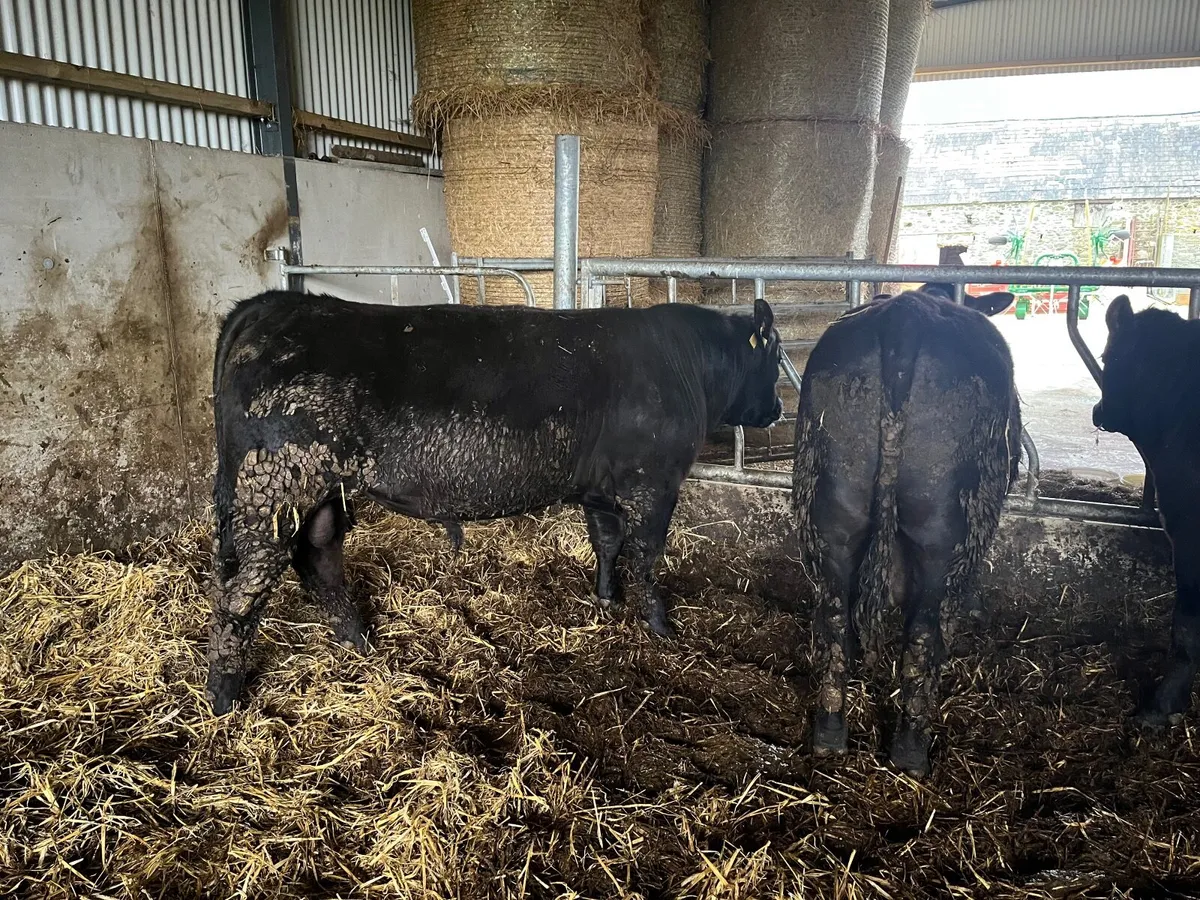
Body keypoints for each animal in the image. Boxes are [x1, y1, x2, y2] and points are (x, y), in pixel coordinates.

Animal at [206, 291, 783, 714]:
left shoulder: (601, 488)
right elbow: (647, 558)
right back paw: (223, 697)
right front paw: (662, 627)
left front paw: (606, 599)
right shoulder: (654, 484)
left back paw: (359, 642)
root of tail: (276, 302)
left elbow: (607, 542)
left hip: (319, 492)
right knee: (241, 591)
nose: (778, 409)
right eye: (776, 358)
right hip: (273, 489)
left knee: (316, 557)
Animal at [792, 283, 1021, 778]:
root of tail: (907, 316)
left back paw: (830, 733)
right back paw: (912, 752)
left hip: (833, 515)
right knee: (922, 636)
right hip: (941, 532)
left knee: (835, 621)